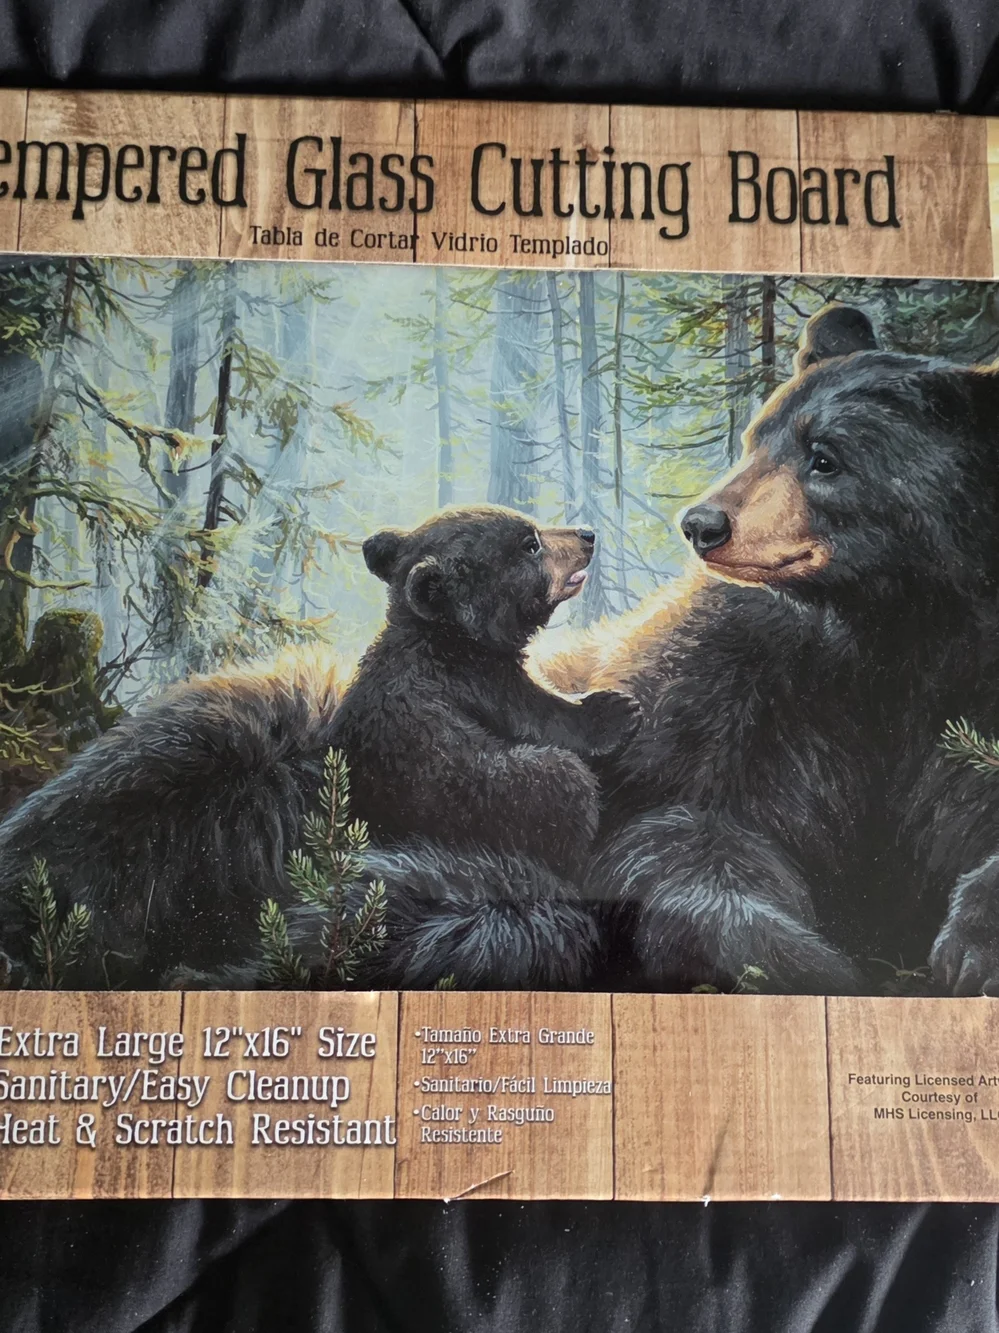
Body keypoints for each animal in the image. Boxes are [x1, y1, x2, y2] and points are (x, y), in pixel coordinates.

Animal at [0, 505, 639, 991]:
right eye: (530, 543)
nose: (586, 534)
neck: (439, 635)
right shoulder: (475, 681)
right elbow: (546, 718)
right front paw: (613, 709)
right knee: (555, 785)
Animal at [584, 303, 999, 997]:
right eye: (757, 440)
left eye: (825, 458)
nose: (702, 523)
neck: (889, 629)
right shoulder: (740, 694)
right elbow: (689, 830)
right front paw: (800, 960)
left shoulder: (970, 691)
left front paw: (970, 946)